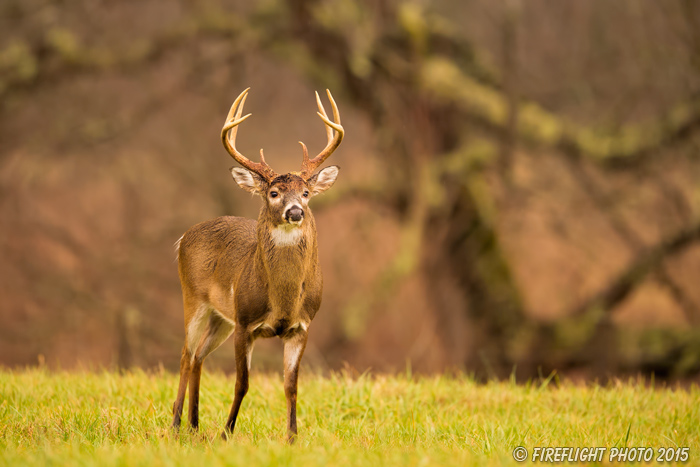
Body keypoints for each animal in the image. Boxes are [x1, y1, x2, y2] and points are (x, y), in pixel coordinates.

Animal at [170, 88, 344, 442]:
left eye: (307, 192)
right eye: (274, 192)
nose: (295, 211)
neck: (283, 300)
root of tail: (183, 236)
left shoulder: (301, 327)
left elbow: (291, 386)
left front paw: (292, 437)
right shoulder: (245, 323)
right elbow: (242, 384)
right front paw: (227, 432)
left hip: (221, 316)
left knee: (198, 356)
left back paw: (194, 424)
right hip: (193, 298)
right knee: (185, 354)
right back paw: (177, 423)